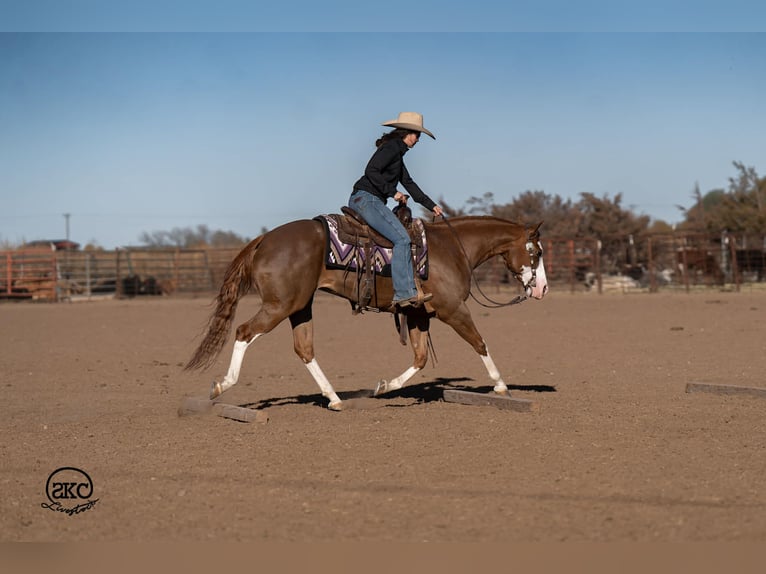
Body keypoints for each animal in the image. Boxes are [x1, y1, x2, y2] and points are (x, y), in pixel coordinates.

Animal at [185, 214, 548, 410]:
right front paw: (501, 386)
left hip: (300, 306)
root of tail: (263, 239)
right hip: (279, 305)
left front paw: (384, 386)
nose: (542, 288)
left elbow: (419, 359)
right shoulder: (452, 310)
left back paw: (334, 398)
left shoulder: (418, 315)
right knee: (245, 332)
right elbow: (480, 343)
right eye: (535, 251)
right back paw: (222, 386)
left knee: (304, 349)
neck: (452, 248)